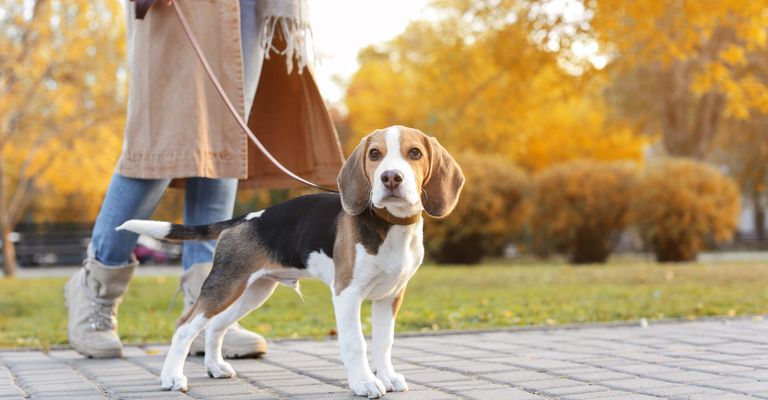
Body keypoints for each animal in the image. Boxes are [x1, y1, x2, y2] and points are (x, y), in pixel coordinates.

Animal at [118, 125, 464, 396]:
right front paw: (365, 383)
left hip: (251, 291)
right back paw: (171, 377)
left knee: (215, 325)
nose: (391, 178)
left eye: (415, 153)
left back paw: (215, 367)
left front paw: (388, 377)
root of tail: (242, 219)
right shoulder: (347, 294)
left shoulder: (390, 296)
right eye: (375, 155)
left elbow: (384, 342)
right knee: (184, 326)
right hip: (224, 287)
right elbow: (357, 343)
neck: (391, 224)